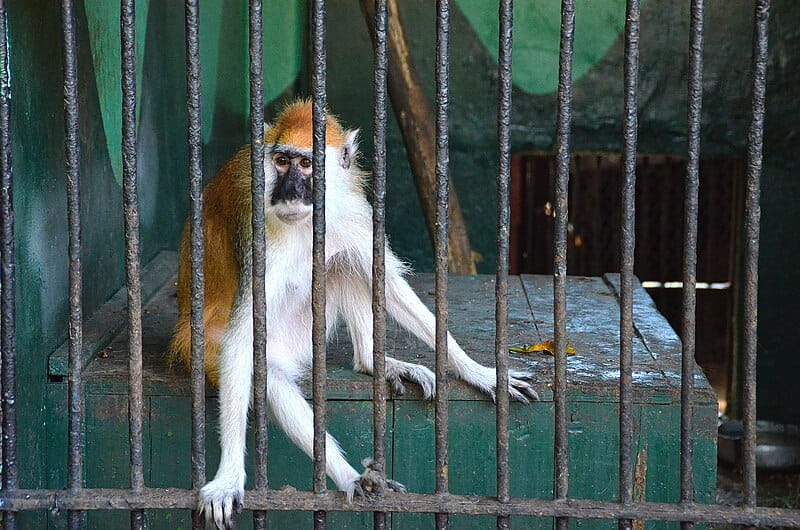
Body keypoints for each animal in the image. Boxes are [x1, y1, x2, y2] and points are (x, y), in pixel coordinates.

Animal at [169, 100, 538, 528]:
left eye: (307, 165)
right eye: (281, 161)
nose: (289, 192)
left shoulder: (348, 211)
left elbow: (386, 282)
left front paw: (481, 373)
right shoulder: (259, 238)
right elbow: (243, 341)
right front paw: (228, 477)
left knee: (341, 262)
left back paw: (371, 363)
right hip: (216, 348)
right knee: (267, 374)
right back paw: (350, 476)